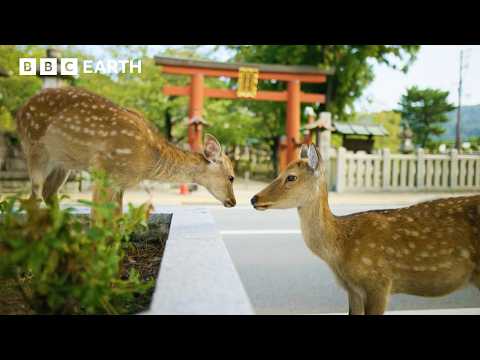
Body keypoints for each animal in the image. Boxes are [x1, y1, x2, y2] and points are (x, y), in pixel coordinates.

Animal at [15, 87, 237, 215]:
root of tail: (20, 111)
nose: (233, 201)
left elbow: (117, 219)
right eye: (231, 177)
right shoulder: (106, 171)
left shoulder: (120, 183)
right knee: (34, 197)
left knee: (48, 194)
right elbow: (98, 219)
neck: (148, 160)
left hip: (62, 163)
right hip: (34, 147)